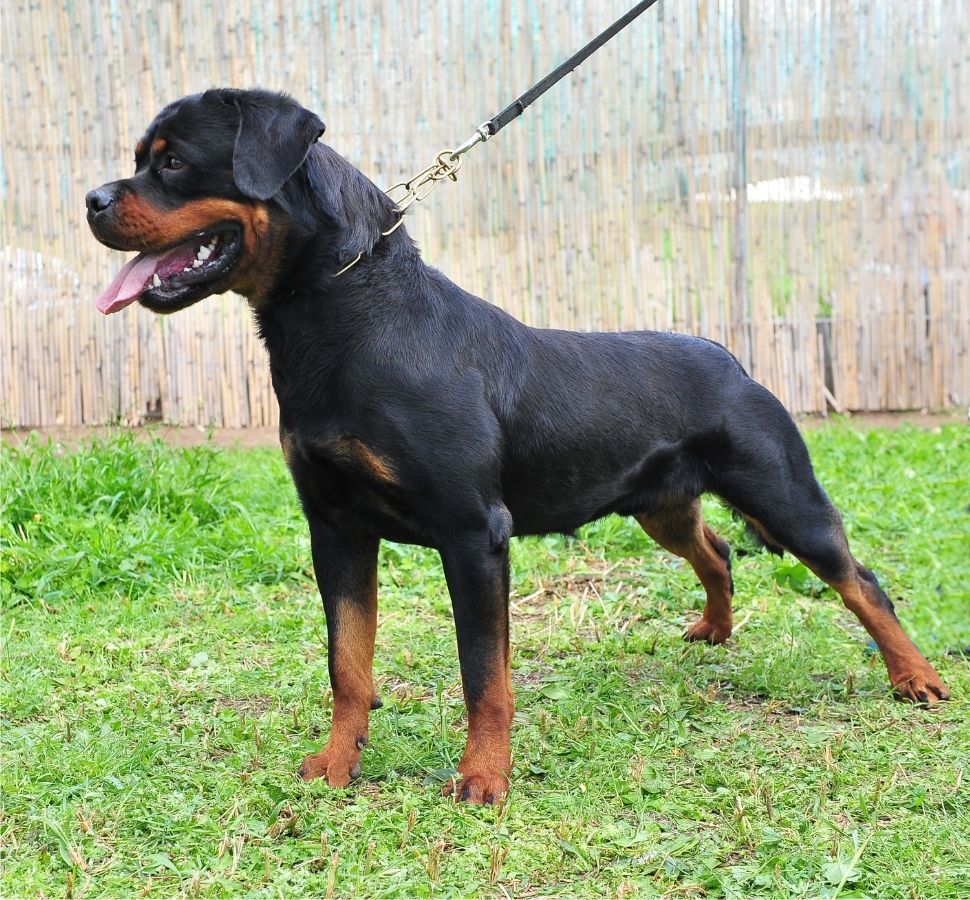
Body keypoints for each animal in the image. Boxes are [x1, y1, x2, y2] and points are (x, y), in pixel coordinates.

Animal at [87, 89, 948, 800]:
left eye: (172, 161)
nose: (91, 199)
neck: (350, 316)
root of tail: (728, 357)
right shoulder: (335, 528)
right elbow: (348, 664)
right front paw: (336, 765)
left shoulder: (473, 534)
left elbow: (484, 676)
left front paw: (483, 779)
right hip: (659, 505)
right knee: (715, 550)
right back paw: (716, 630)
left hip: (782, 494)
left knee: (859, 580)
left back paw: (917, 679)